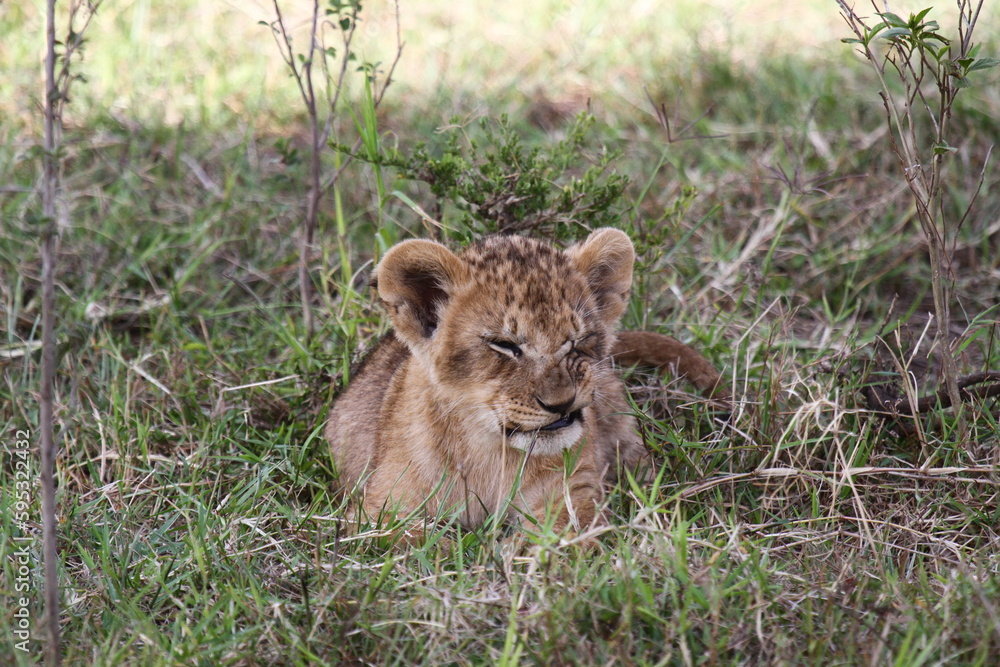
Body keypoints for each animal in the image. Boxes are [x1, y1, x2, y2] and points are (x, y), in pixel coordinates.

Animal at [325, 228, 726, 536]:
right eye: (504, 345)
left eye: (576, 341)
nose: (561, 404)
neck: (491, 453)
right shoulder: (375, 513)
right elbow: (418, 543)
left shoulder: (571, 493)